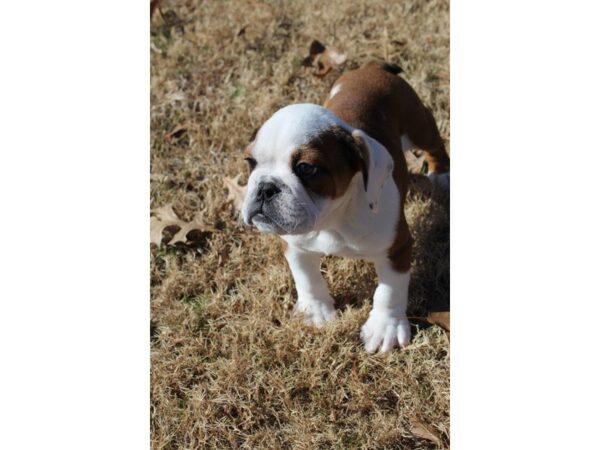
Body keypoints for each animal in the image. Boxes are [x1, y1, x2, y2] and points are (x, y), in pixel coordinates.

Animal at [241, 61, 448, 354]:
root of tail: (373, 66)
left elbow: (390, 290)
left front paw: (385, 328)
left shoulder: (397, 248)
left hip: (417, 123)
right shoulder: (295, 246)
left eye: (306, 168)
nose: (266, 187)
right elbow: (307, 278)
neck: (332, 220)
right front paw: (315, 312)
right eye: (250, 162)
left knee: (433, 142)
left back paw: (442, 174)